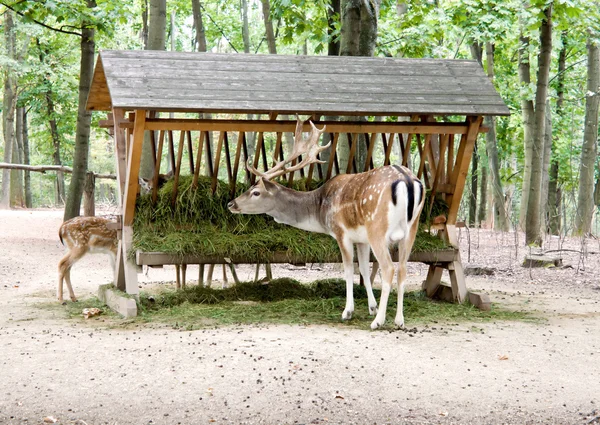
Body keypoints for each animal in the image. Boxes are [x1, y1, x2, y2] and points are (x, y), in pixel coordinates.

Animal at [226, 116, 426, 328]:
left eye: (256, 192)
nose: (231, 203)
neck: (320, 209)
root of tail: (407, 180)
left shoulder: (341, 232)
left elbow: (348, 270)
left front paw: (348, 312)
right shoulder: (361, 239)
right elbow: (363, 269)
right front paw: (371, 307)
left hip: (377, 229)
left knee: (389, 268)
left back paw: (378, 322)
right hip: (411, 230)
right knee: (403, 268)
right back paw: (399, 320)